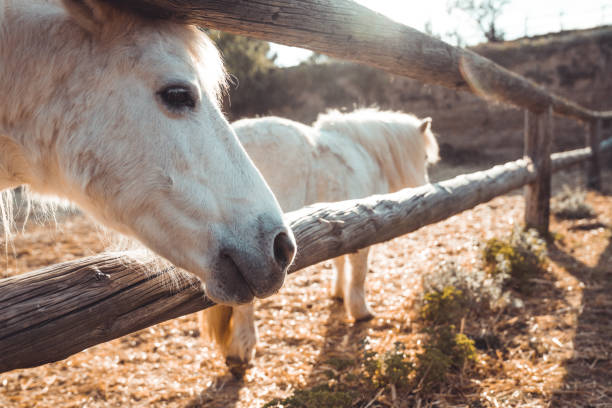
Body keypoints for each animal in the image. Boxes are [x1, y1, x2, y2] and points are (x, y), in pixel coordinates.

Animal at [201, 107, 440, 366]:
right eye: (424, 157)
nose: (425, 186)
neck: (365, 153)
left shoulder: (342, 226)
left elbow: (339, 262)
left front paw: (339, 294)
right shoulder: (365, 228)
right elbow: (359, 273)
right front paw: (361, 312)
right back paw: (242, 349)